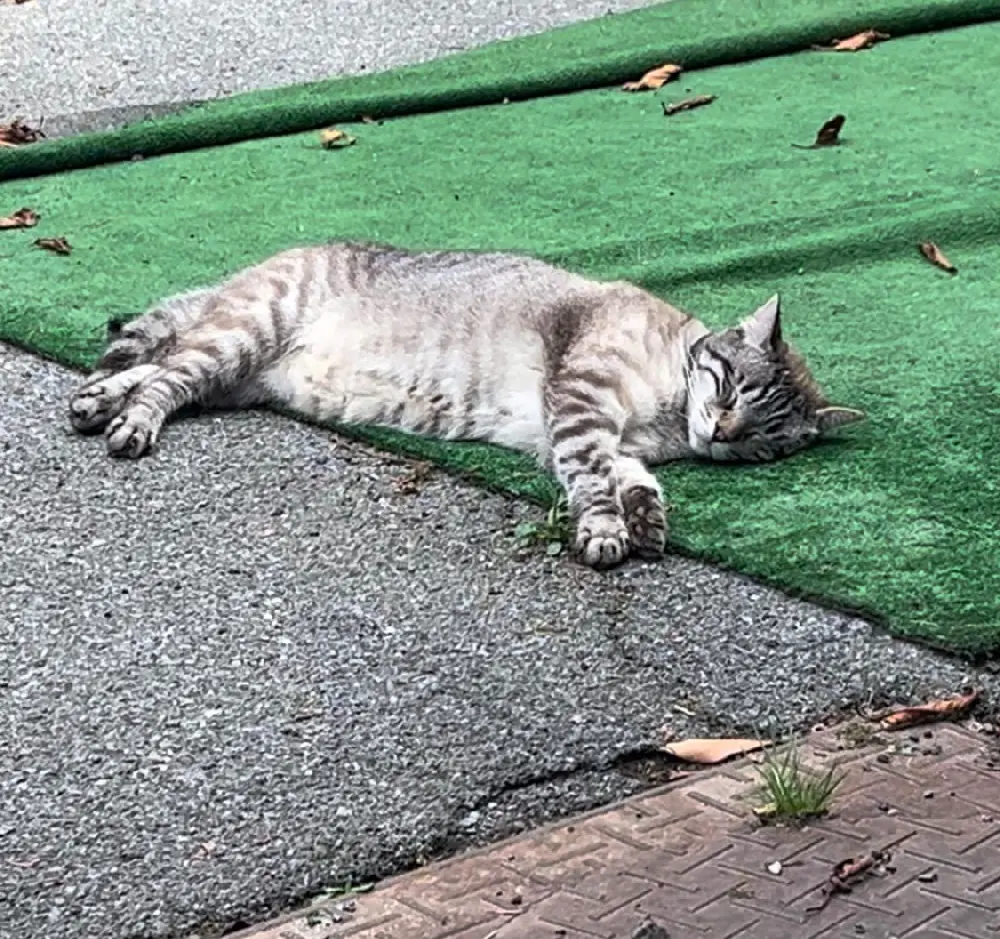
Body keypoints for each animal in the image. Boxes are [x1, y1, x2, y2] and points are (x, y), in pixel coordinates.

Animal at [70, 239, 868, 568]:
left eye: (765, 441)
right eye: (732, 390)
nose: (723, 433)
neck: (670, 413)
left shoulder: (602, 437)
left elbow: (632, 479)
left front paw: (645, 515)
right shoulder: (580, 407)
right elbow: (593, 480)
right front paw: (607, 529)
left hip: (241, 376)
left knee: (153, 367)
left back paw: (98, 399)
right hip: (240, 336)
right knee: (164, 376)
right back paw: (129, 421)